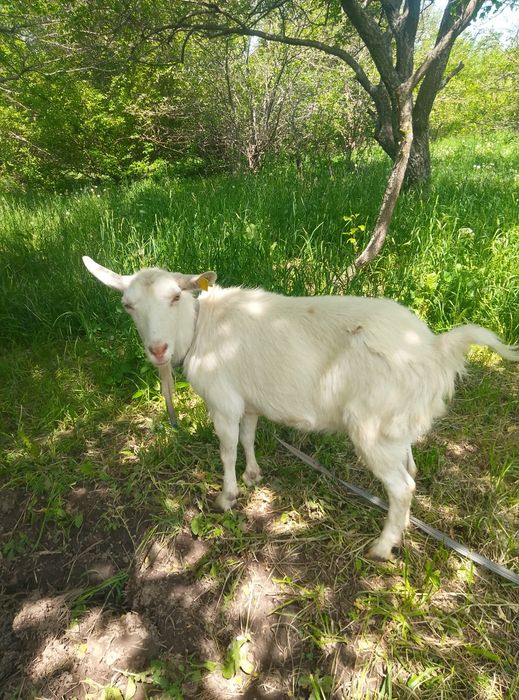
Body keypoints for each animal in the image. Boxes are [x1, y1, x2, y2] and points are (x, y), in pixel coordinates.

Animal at [82, 256, 519, 561]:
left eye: (175, 297)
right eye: (127, 305)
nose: (157, 349)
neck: (200, 328)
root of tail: (433, 349)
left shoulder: (223, 401)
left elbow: (226, 448)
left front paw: (226, 497)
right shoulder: (249, 398)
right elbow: (248, 436)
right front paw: (254, 475)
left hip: (373, 426)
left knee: (401, 486)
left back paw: (381, 548)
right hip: (397, 425)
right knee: (410, 472)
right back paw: (402, 532)